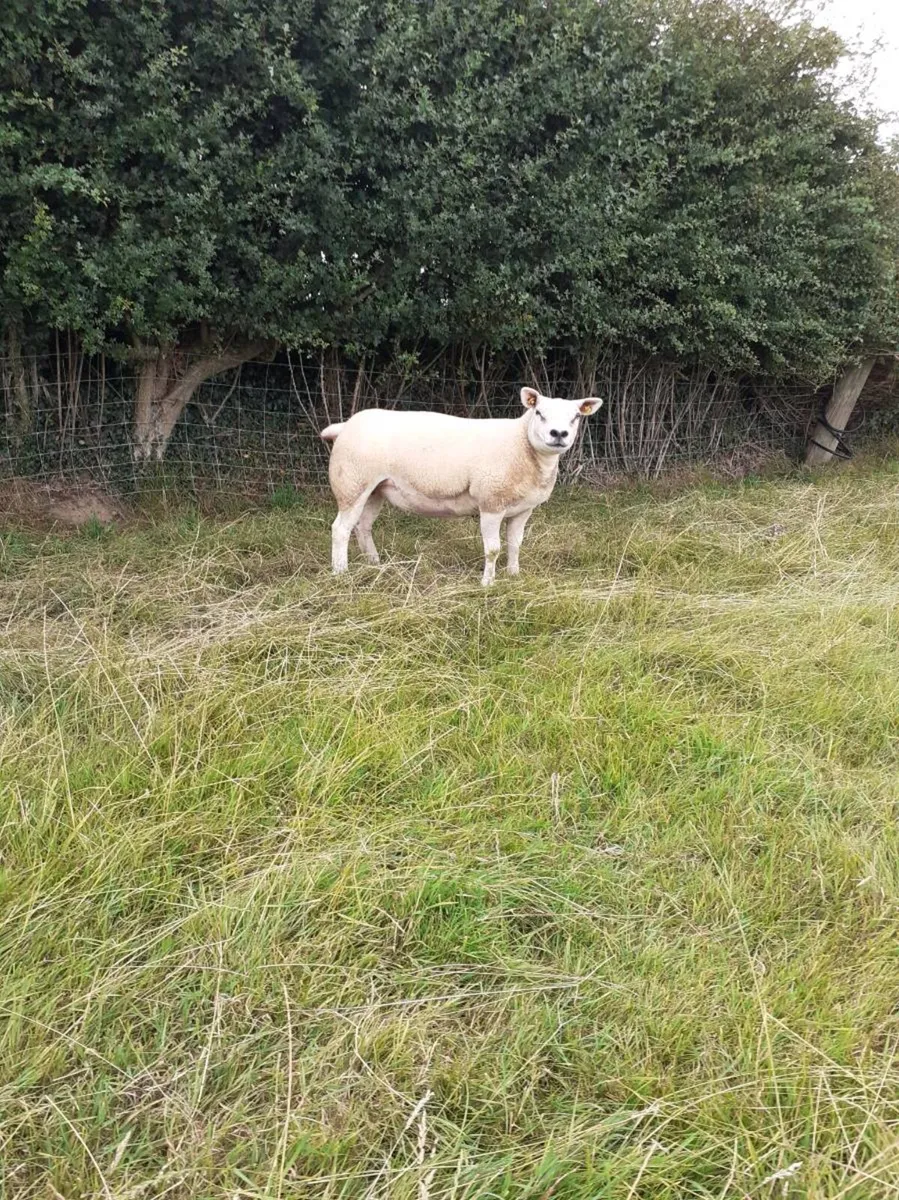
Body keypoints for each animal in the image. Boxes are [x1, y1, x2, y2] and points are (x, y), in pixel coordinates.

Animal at [320, 386, 603, 584]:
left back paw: (374, 564)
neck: (521, 445)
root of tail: (345, 426)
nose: (559, 434)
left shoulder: (524, 509)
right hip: (352, 483)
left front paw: (513, 575)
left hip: (375, 488)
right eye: (539, 413)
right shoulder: (491, 502)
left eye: (576, 417)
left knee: (363, 526)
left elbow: (515, 544)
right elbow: (493, 549)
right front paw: (488, 583)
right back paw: (341, 572)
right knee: (340, 529)